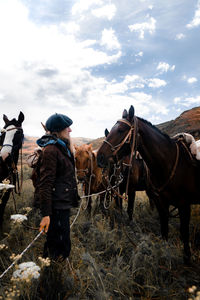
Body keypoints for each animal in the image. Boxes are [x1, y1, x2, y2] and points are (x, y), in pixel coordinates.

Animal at [97, 105, 200, 262]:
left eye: (121, 130)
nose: (99, 157)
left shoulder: (183, 204)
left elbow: (183, 232)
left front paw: (187, 259)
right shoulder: (158, 201)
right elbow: (163, 228)